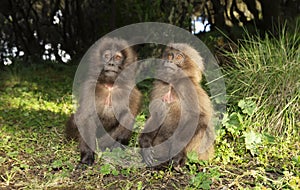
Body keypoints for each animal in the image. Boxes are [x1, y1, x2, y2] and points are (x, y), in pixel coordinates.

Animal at [65, 37, 142, 166]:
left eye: (117, 58)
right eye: (107, 56)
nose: (111, 64)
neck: (110, 85)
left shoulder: (131, 91)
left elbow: (128, 117)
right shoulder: (90, 87)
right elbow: (85, 117)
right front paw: (87, 155)